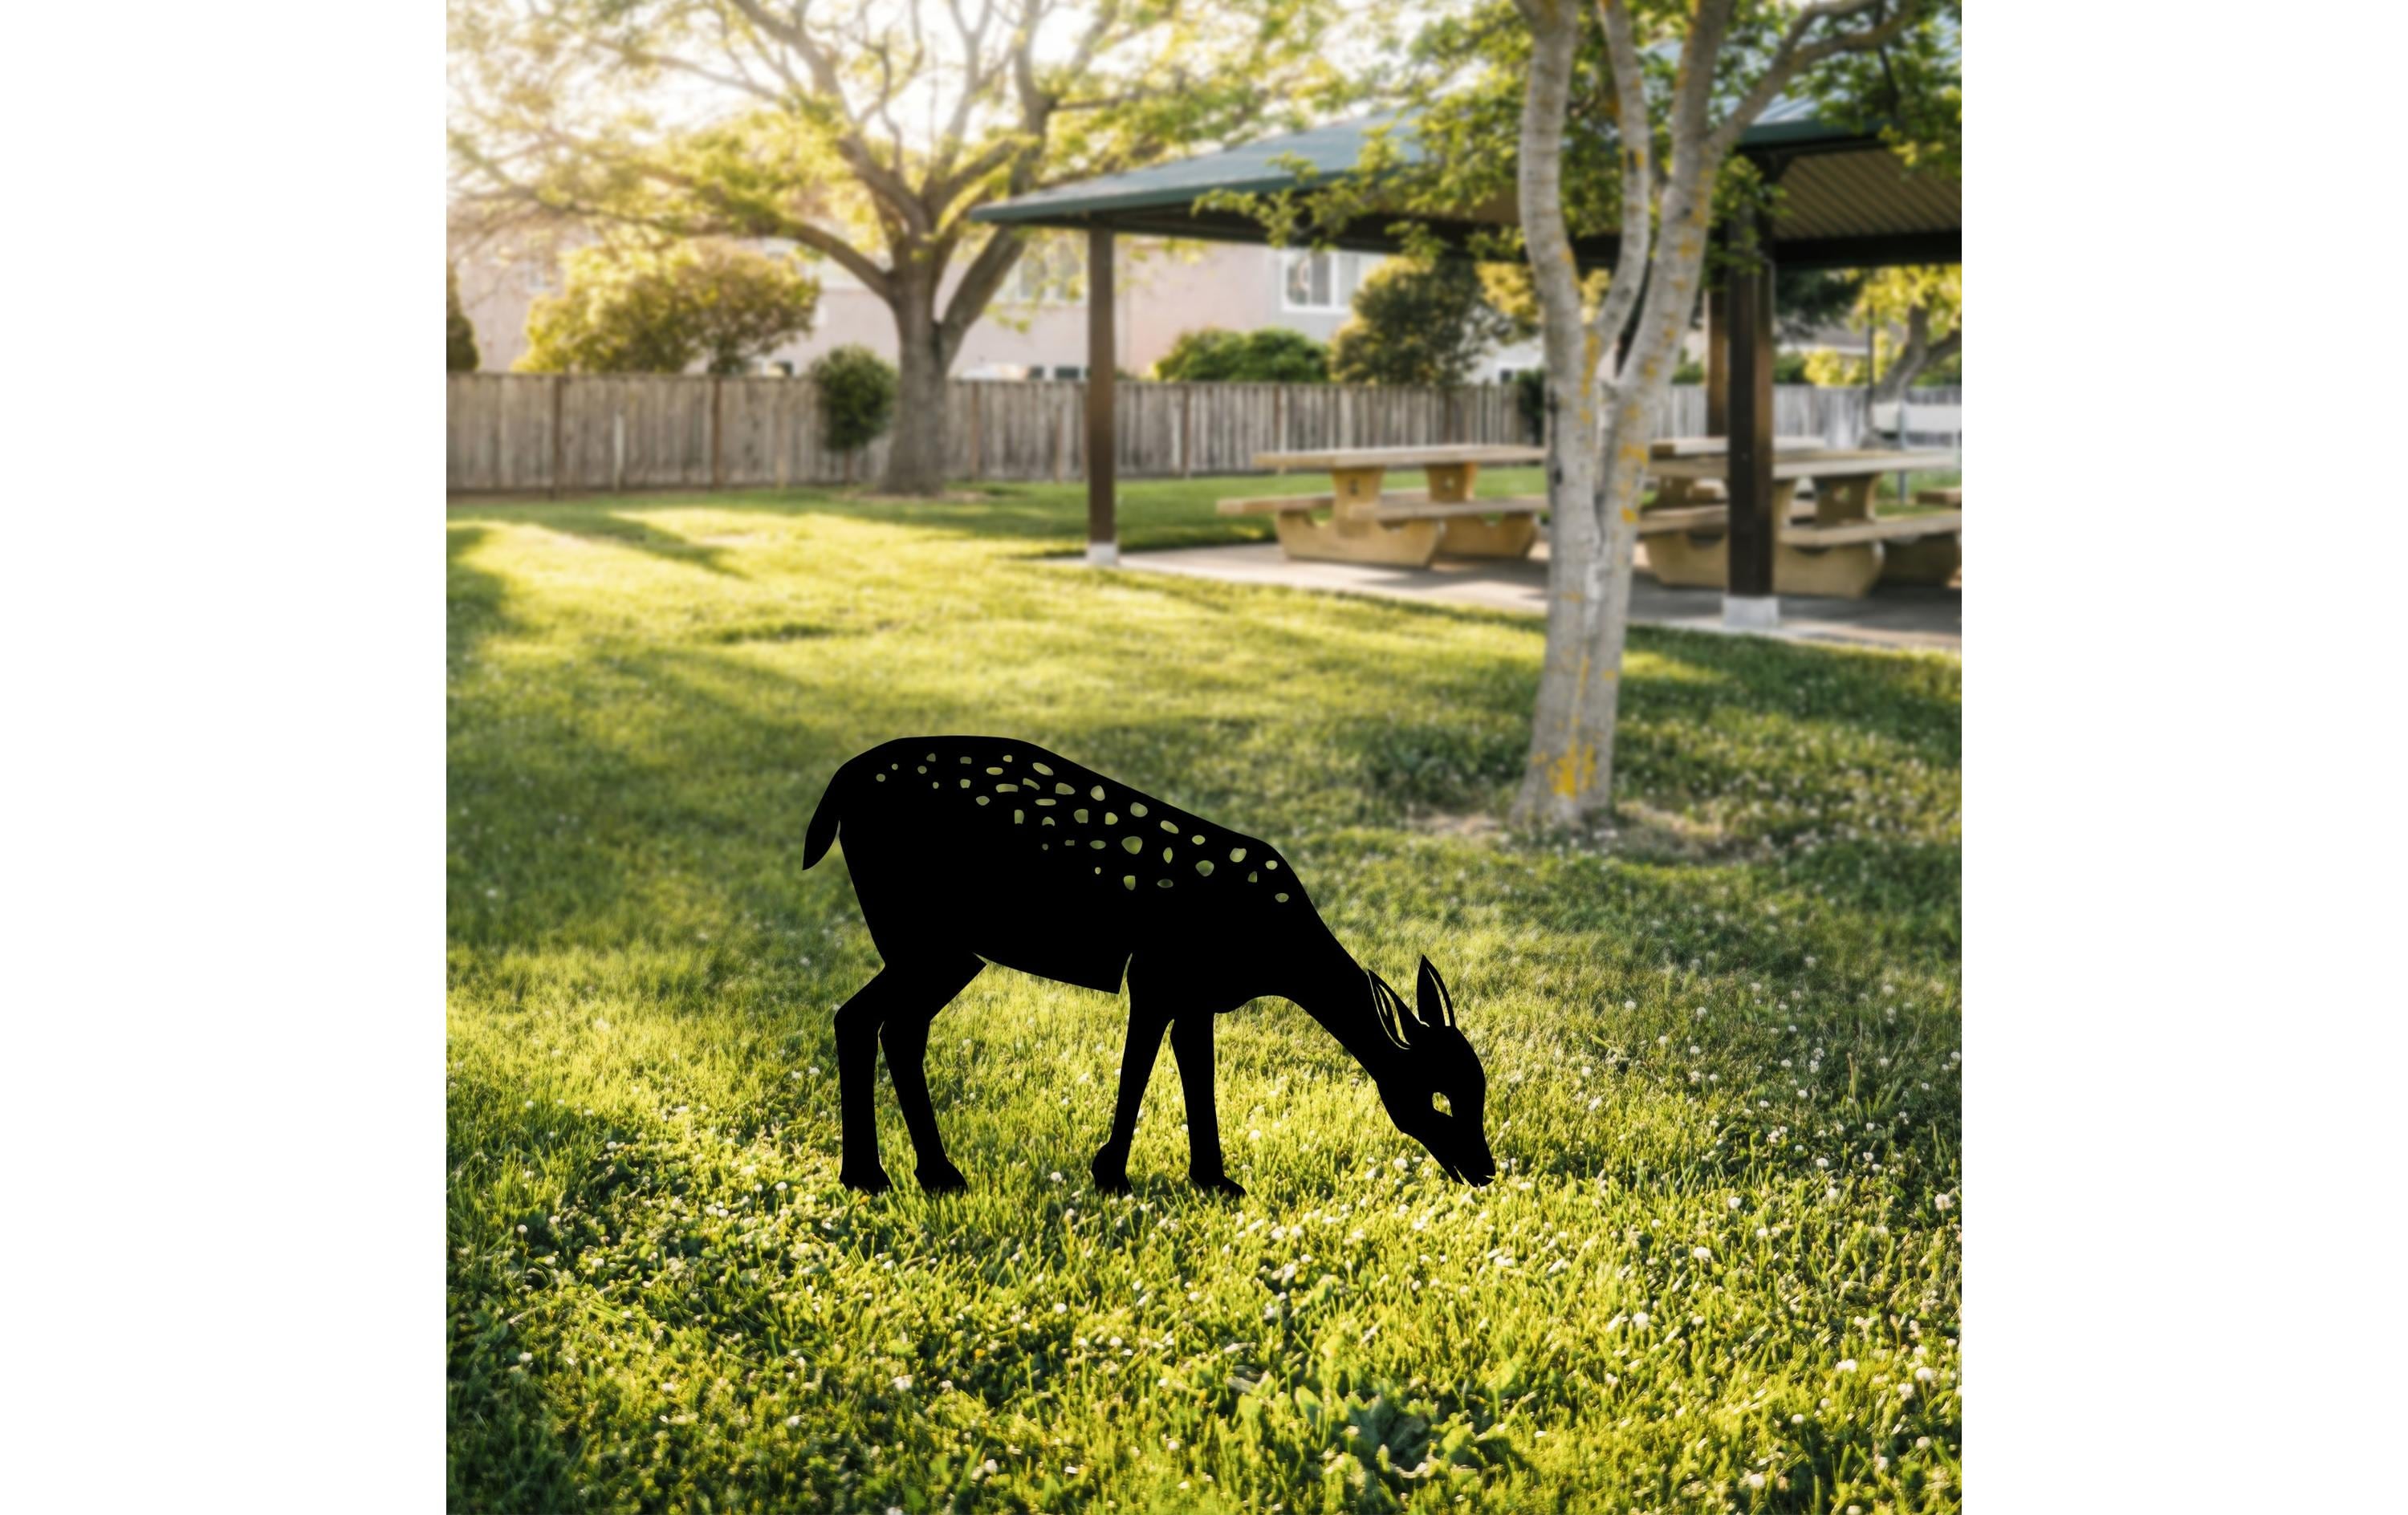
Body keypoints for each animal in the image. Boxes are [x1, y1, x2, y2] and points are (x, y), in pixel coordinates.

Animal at [802, 736, 1494, 1197]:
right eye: (1438, 1094)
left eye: (1480, 1091)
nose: (1486, 1170)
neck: (1273, 951)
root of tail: (834, 793)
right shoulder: (1157, 972)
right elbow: (1139, 1067)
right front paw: (1111, 1175)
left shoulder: (1198, 993)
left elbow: (1196, 1071)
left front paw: (1214, 1181)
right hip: (921, 932)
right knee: (864, 1019)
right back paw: (879, 1176)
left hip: (945, 948)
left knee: (890, 1026)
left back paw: (921, 1175)